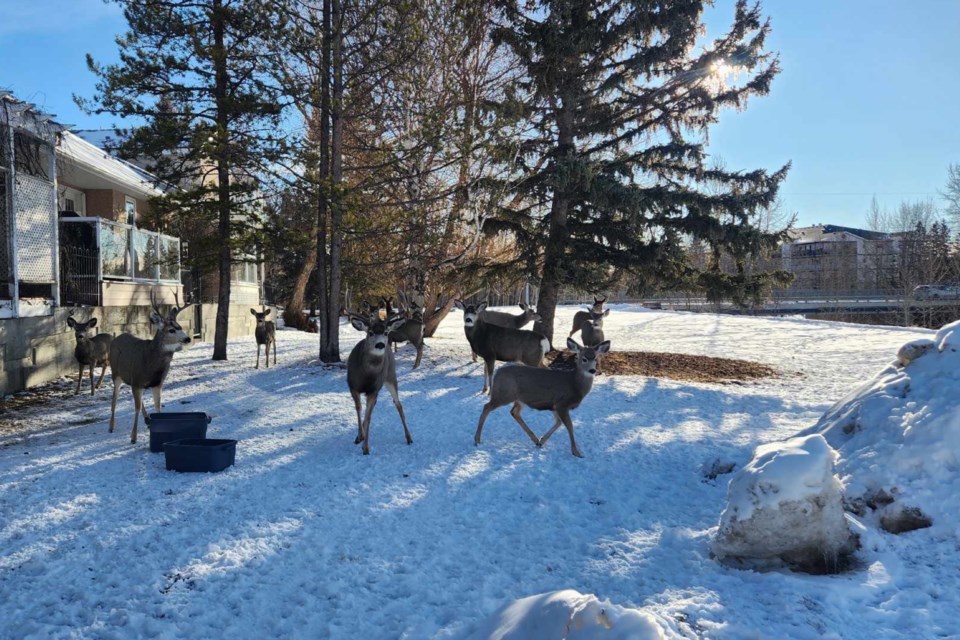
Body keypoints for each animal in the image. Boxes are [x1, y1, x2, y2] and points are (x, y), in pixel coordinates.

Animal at [108, 292, 193, 442]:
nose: (187, 339)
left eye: (180, 327)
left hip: (131, 379)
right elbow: (136, 407)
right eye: (171, 330)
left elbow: (157, 407)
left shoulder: (157, 383)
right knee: (114, 399)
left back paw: (147, 419)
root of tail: (116, 338)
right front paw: (133, 437)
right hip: (115, 373)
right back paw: (111, 426)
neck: (150, 363)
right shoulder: (137, 381)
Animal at [346, 312, 410, 456]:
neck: (366, 376)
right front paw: (360, 436)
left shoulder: (374, 390)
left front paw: (365, 448)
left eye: (386, 332)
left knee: (398, 404)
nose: (380, 344)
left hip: (391, 376)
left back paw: (409, 437)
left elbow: (369, 416)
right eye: (370, 333)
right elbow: (358, 408)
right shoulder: (352, 386)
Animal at [476, 338, 612, 458]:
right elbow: (569, 426)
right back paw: (477, 439)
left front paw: (542, 441)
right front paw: (576, 452)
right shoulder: (562, 404)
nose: (592, 370)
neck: (574, 385)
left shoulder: (555, 406)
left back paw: (535, 440)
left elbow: (558, 423)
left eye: (595, 358)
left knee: (514, 412)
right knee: (486, 407)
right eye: (584, 358)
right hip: (504, 394)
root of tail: (498, 373)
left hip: (519, 399)